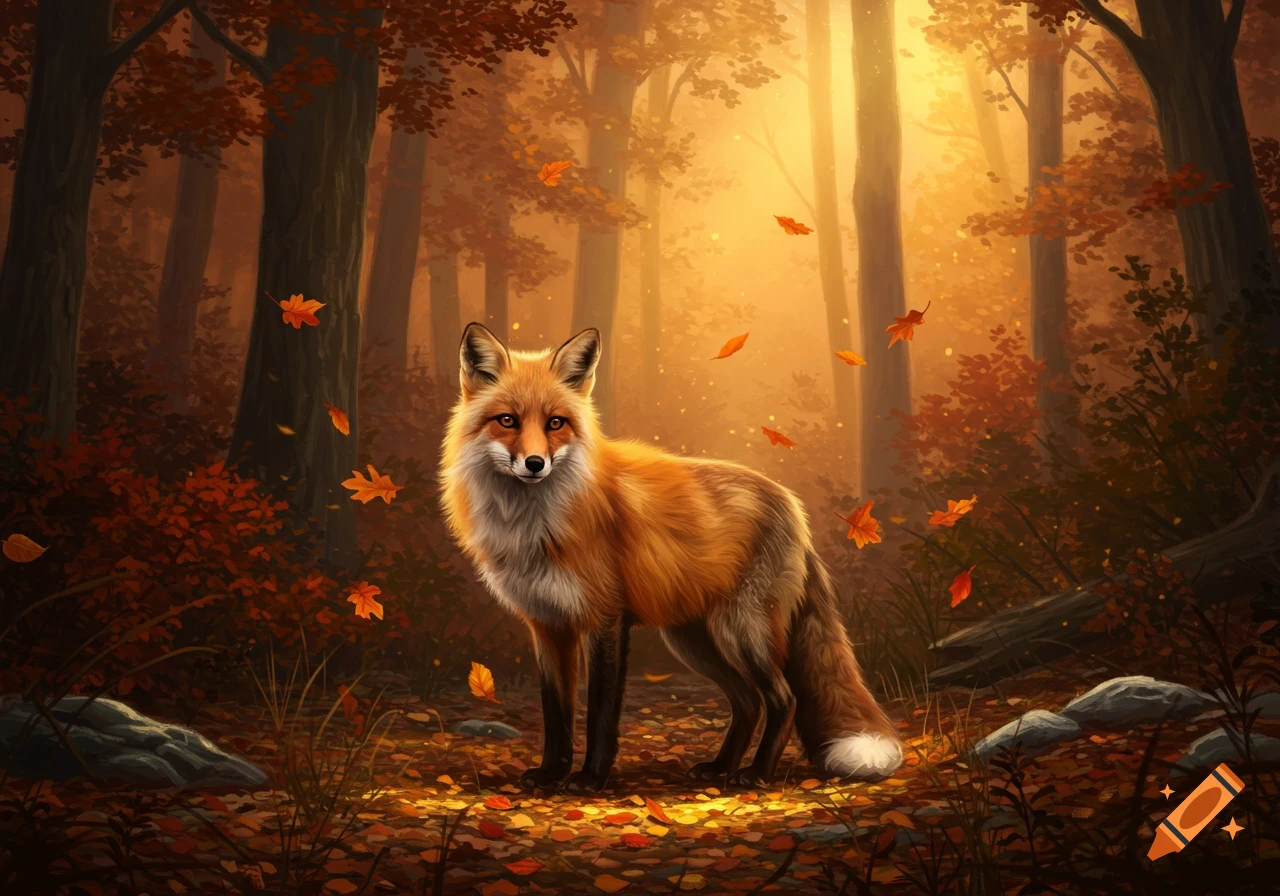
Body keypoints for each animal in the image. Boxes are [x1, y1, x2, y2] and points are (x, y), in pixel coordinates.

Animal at [439, 322, 903, 793]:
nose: (535, 463)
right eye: (507, 420)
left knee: (783, 699)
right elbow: (557, 714)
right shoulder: (549, 625)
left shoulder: (605, 619)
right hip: (695, 640)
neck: (535, 525)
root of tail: (793, 506)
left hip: (742, 632)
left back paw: (756, 773)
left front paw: (591, 778)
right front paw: (551, 773)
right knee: (748, 702)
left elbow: (601, 712)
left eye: (556, 423)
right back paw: (719, 767)